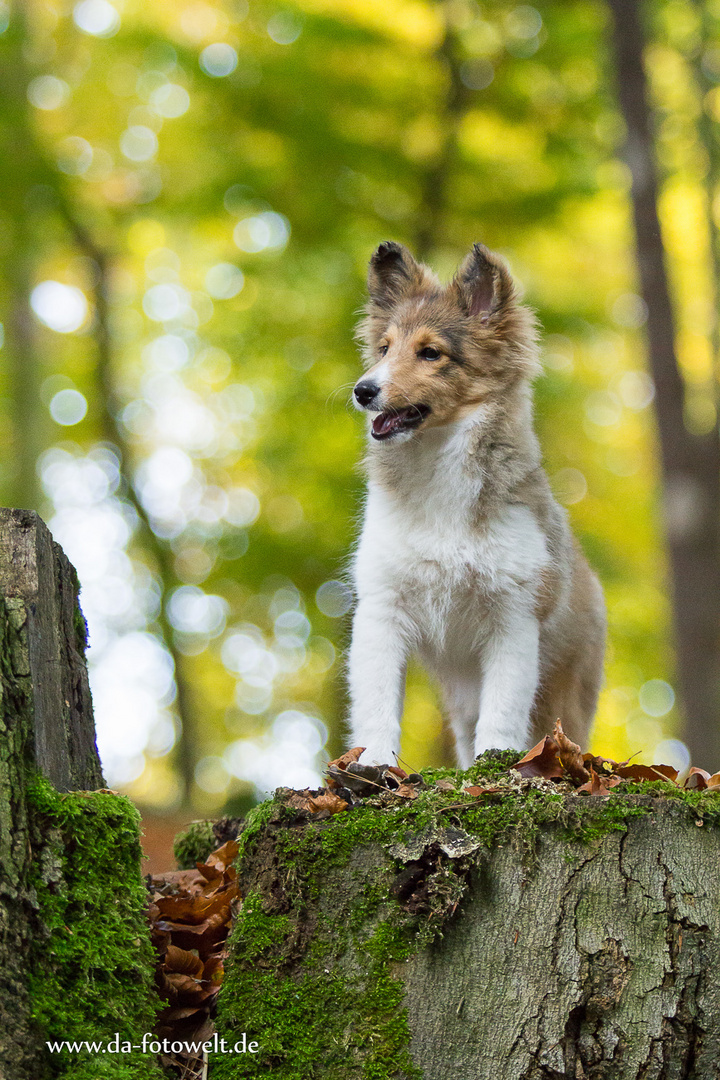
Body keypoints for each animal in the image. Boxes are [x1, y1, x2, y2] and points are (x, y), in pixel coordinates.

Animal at [345, 245, 604, 768]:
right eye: (384, 348)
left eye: (430, 352)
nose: (363, 391)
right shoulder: (383, 607)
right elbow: (376, 704)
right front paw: (374, 766)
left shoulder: (514, 617)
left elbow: (503, 712)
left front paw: (497, 765)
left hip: (566, 695)